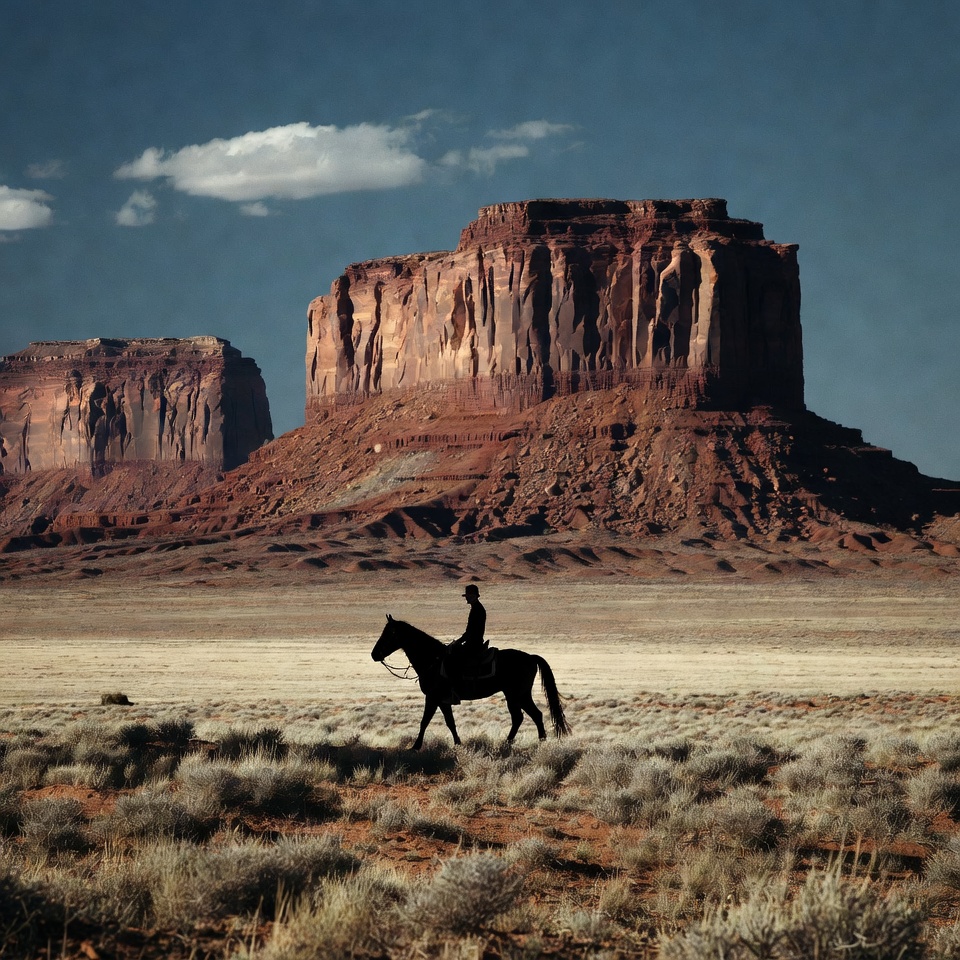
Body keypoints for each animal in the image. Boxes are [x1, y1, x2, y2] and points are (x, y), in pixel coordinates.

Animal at [371, 614, 571, 750]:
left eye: (388, 634)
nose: (374, 654)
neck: (433, 660)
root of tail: (530, 657)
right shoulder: (442, 700)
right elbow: (450, 722)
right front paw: (458, 744)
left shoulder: (433, 697)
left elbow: (424, 721)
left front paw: (415, 747)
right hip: (517, 695)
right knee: (530, 716)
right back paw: (528, 742)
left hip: (516, 694)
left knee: (525, 716)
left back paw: (518, 743)